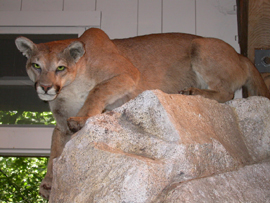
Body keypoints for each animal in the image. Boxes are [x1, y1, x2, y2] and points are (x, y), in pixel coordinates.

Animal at [15, 27, 270, 199]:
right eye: (36, 65)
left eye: (60, 67)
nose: (45, 87)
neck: (71, 86)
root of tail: (243, 56)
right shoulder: (59, 124)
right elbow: (54, 150)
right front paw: (48, 183)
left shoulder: (128, 73)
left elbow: (98, 89)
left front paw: (82, 118)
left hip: (201, 46)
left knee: (227, 93)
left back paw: (192, 91)